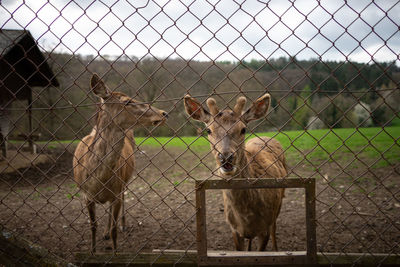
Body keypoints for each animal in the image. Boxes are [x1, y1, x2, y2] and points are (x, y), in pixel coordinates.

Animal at [72, 74, 168, 253]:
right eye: (127, 101)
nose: (164, 113)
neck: (98, 180)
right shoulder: (86, 195)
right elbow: (93, 226)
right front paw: (92, 251)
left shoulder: (116, 192)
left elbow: (114, 230)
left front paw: (116, 251)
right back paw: (105, 233)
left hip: (124, 182)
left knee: (122, 200)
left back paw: (122, 226)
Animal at [184, 93, 288, 251]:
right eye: (209, 130)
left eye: (243, 129)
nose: (226, 157)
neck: (246, 216)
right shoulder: (234, 229)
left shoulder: (266, 226)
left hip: (279, 202)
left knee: (274, 229)